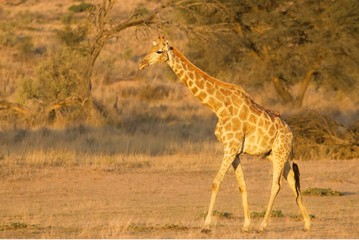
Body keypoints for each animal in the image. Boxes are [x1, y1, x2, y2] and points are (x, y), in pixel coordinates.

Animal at [139, 37, 310, 232]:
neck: (218, 106)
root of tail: (290, 130)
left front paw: (206, 223)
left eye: (159, 51)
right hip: (276, 155)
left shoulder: (230, 148)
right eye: (150, 48)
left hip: (280, 153)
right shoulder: (234, 151)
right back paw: (307, 223)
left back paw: (263, 225)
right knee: (292, 181)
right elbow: (242, 185)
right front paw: (246, 224)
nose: (142, 63)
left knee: (276, 185)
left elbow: (216, 183)